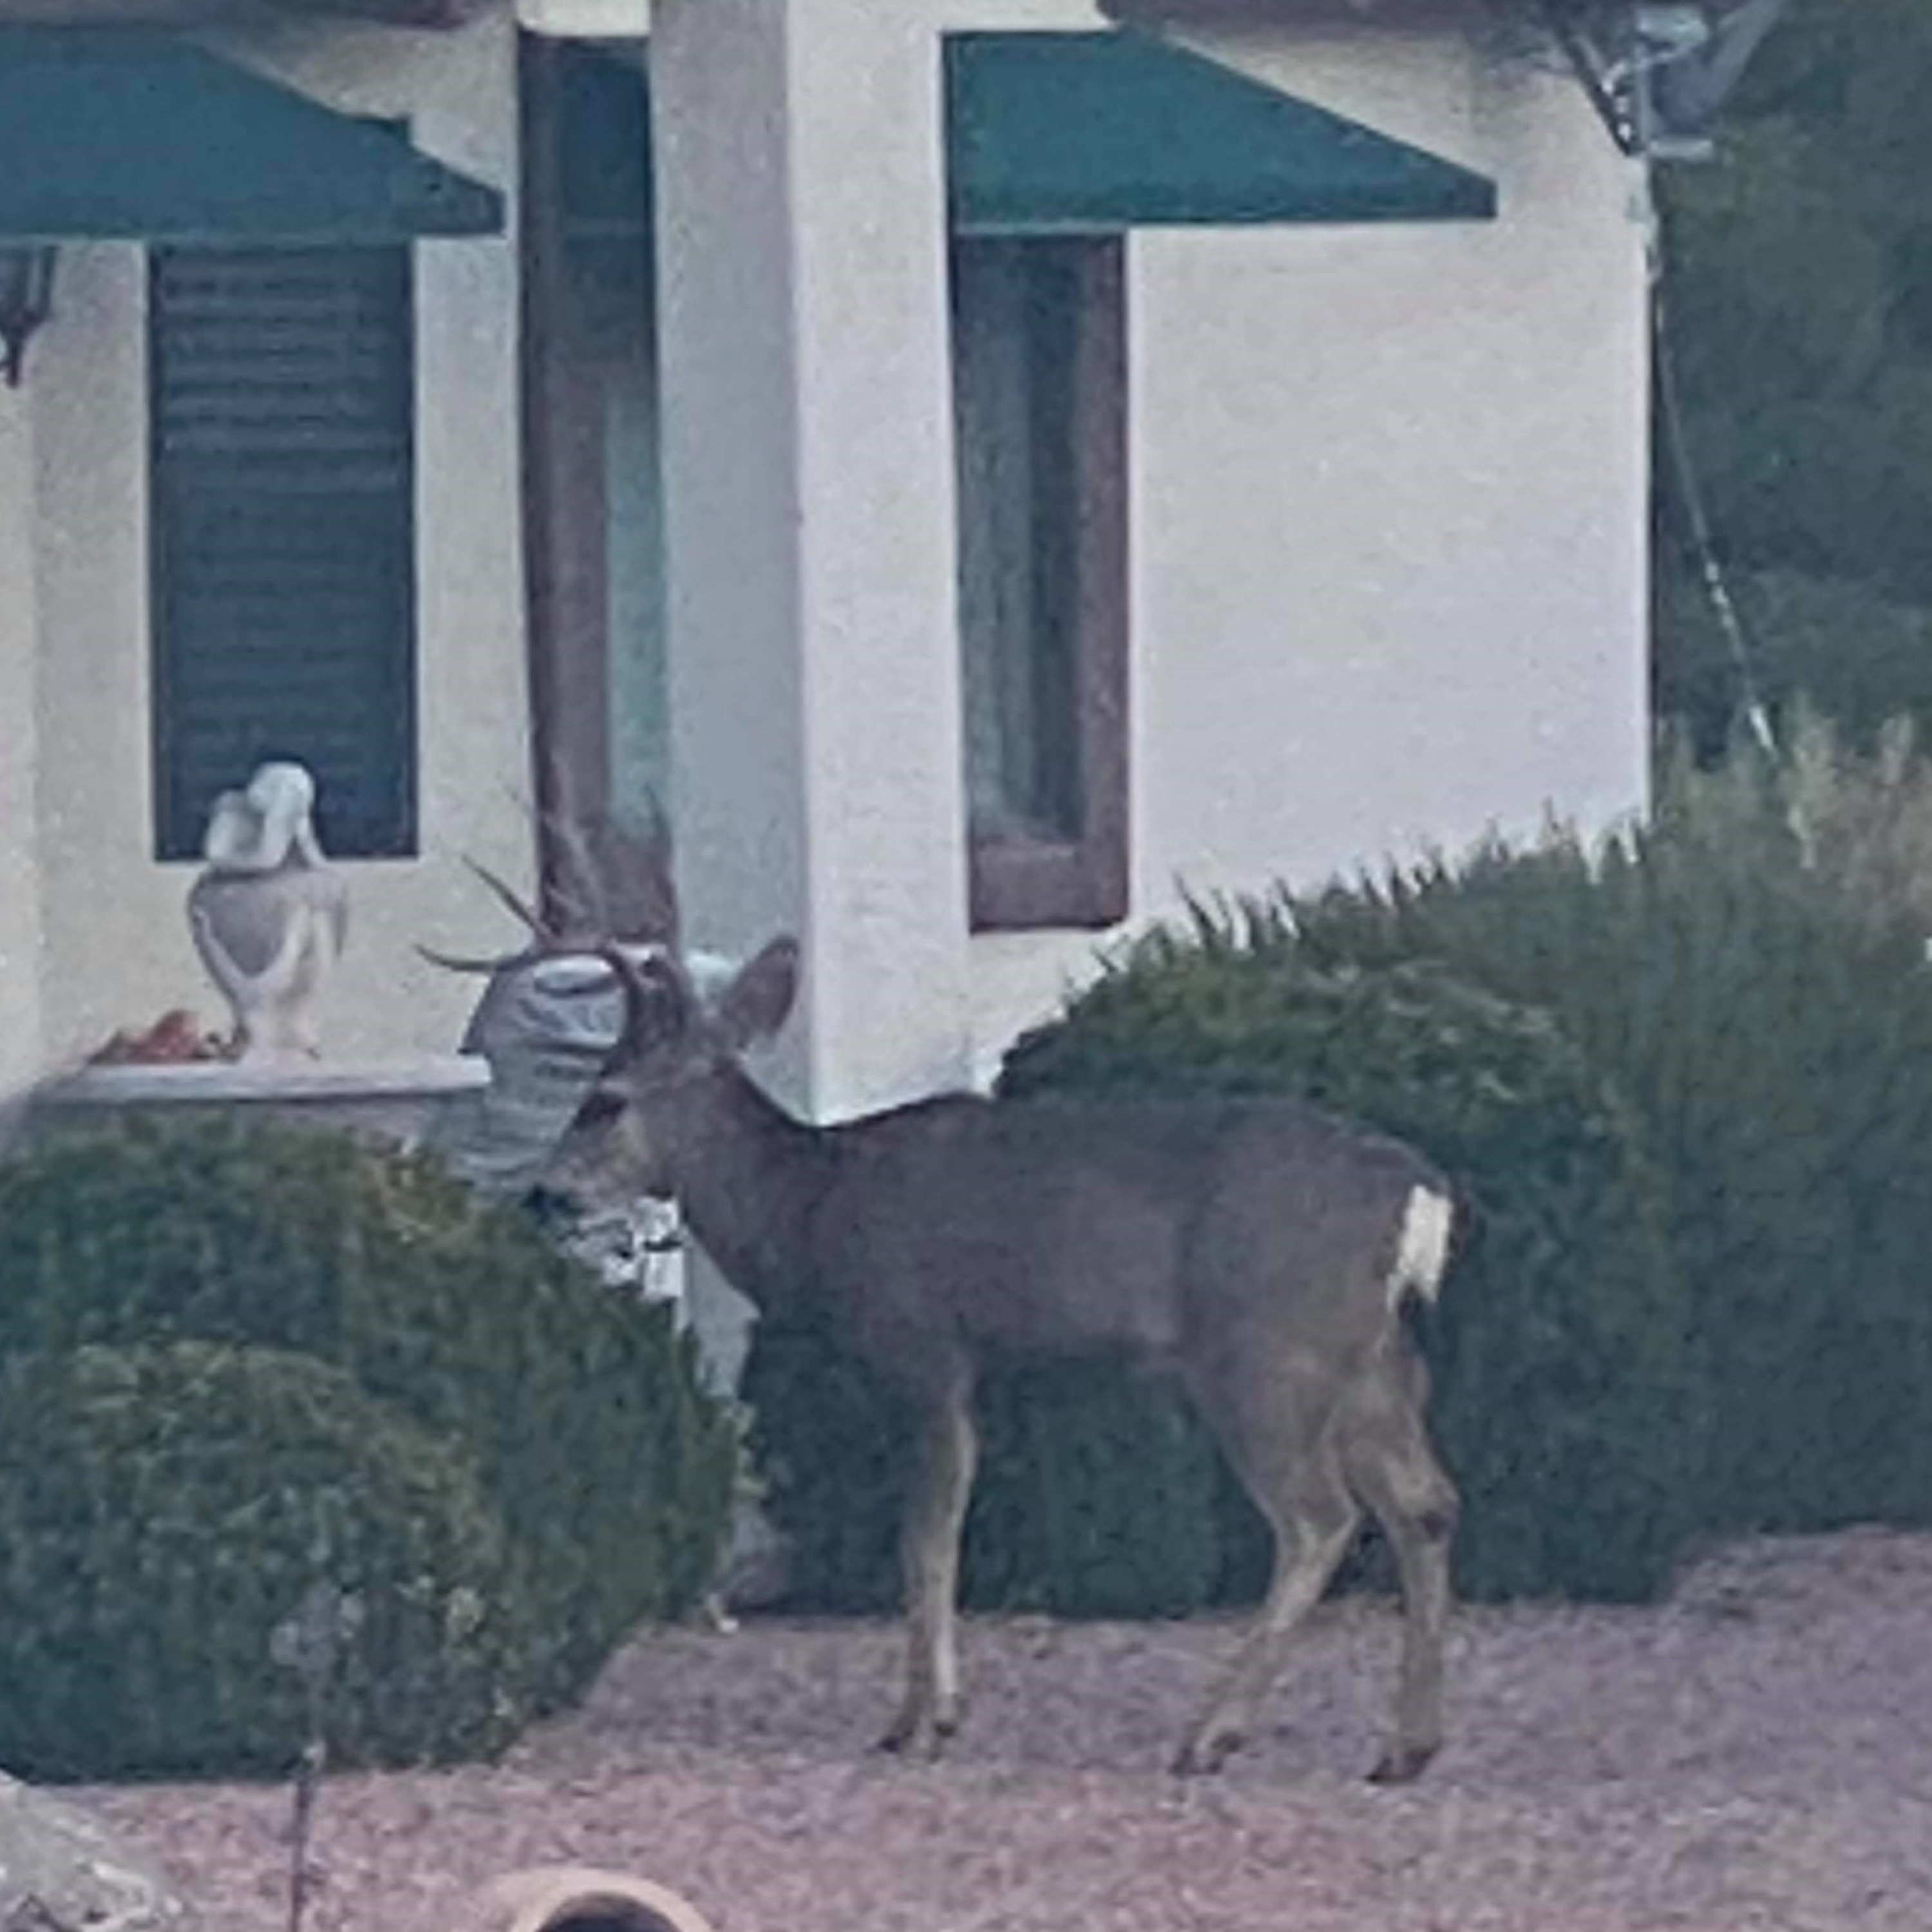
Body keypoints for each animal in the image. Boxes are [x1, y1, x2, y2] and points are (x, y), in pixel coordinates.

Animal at [430, 830, 1463, 1785]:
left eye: (603, 1099)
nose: (544, 1193)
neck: (812, 1211)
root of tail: (1418, 1194)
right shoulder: (968, 1372)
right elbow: (941, 1534)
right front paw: (935, 1713)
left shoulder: (922, 1348)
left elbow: (922, 1539)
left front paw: (918, 1723)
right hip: (1374, 1360)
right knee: (1427, 1505)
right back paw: (1404, 1749)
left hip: (1267, 1350)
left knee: (1320, 1518)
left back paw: (1210, 1736)